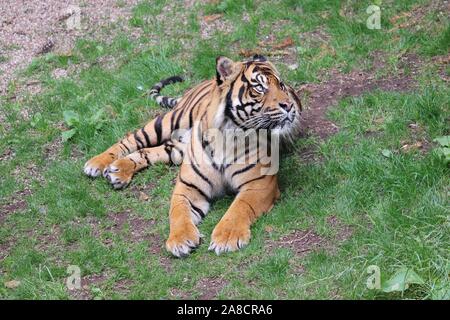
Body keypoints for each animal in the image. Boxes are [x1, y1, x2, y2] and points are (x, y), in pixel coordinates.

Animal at [84, 53, 302, 256]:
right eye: (260, 87)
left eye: (281, 85)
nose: (289, 105)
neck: (227, 135)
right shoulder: (187, 187)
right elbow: (178, 212)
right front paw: (180, 240)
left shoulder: (258, 184)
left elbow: (238, 209)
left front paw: (226, 238)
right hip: (168, 121)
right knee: (131, 139)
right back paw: (97, 163)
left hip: (176, 149)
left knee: (147, 151)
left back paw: (118, 171)